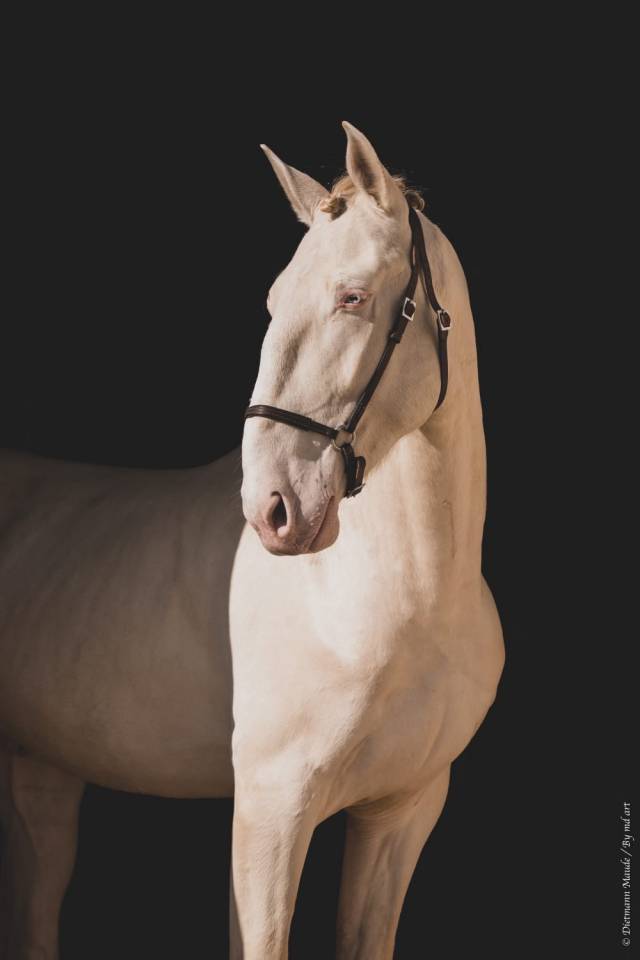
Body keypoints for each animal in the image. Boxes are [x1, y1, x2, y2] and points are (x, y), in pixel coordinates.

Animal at [0, 121, 504, 959]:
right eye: (272, 302)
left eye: (352, 297)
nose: (272, 507)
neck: (400, 605)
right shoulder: (271, 814)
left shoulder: (401, 813)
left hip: (42, 775)